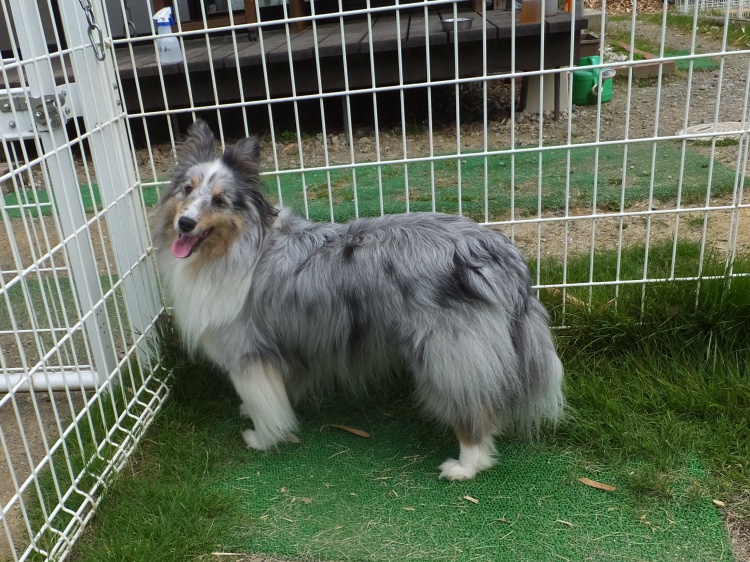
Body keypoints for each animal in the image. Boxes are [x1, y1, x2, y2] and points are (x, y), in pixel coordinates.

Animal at [154, 120, 564, 481]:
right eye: (187, 190)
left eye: (219, 201)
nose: (184, 224)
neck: (236, 247)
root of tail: (495, 250)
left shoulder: (248, 355)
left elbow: (263, 403)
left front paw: (262, 436)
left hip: (449, 353)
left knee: (472, 408)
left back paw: (465, 465)